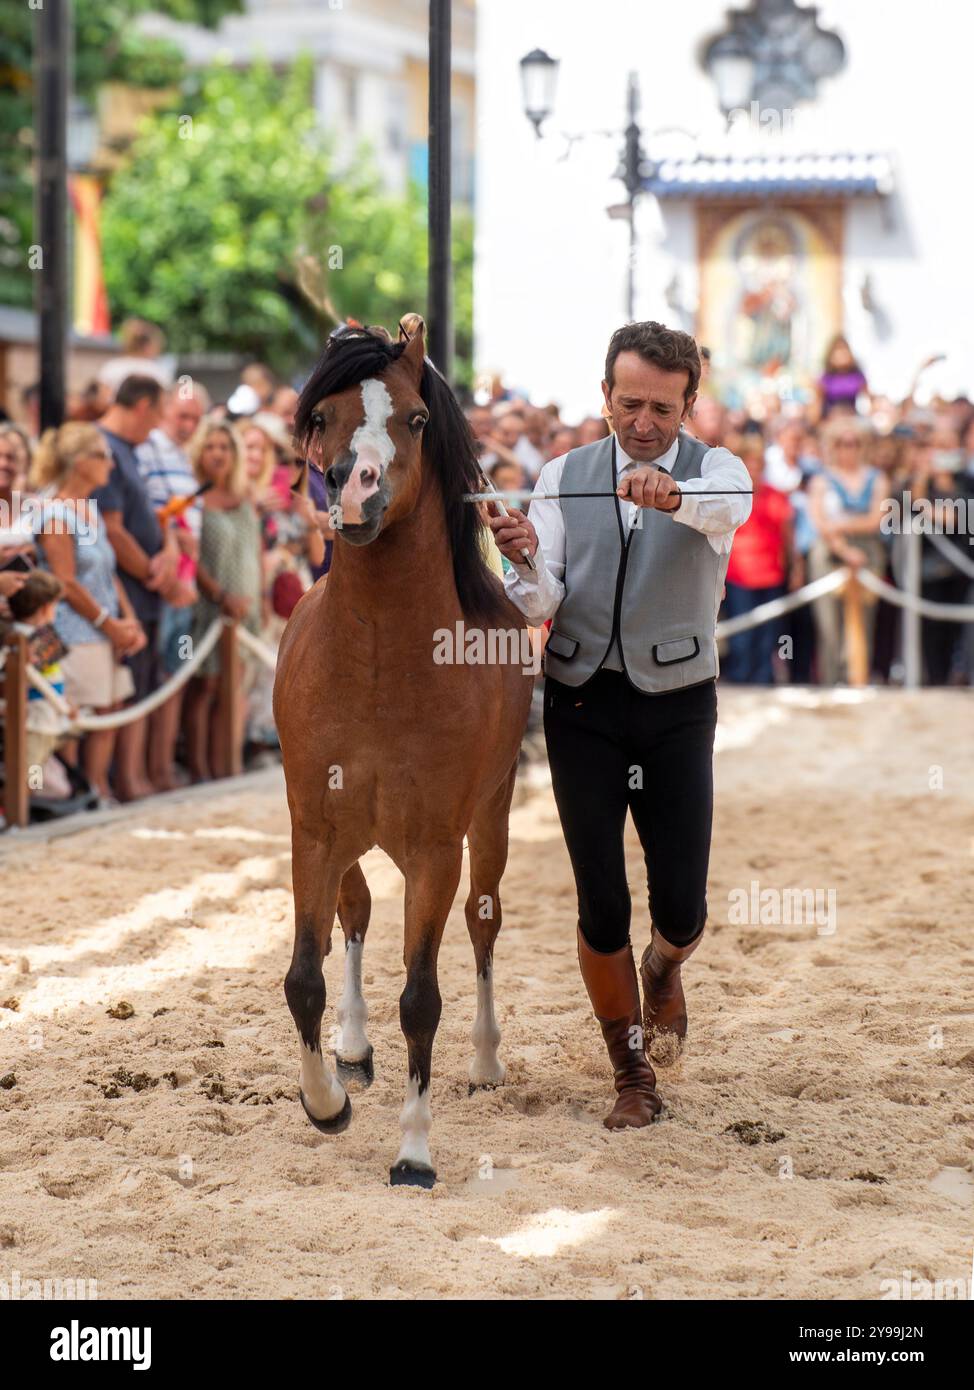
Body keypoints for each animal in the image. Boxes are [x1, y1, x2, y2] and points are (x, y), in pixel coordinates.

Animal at [272, 322, 530, 1184]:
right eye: (323, 417)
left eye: (416, 418)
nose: (355, 489)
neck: (381, 660)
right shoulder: (313, 830)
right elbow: (305, 978)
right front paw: (326, 1103)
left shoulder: (434, 848)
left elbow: (422, 997)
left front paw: (414, 1152)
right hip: (349, 835)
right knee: (353, 915)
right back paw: (352, 1052)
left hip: (489, 823)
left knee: (483, 925)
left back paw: (484, 1062)